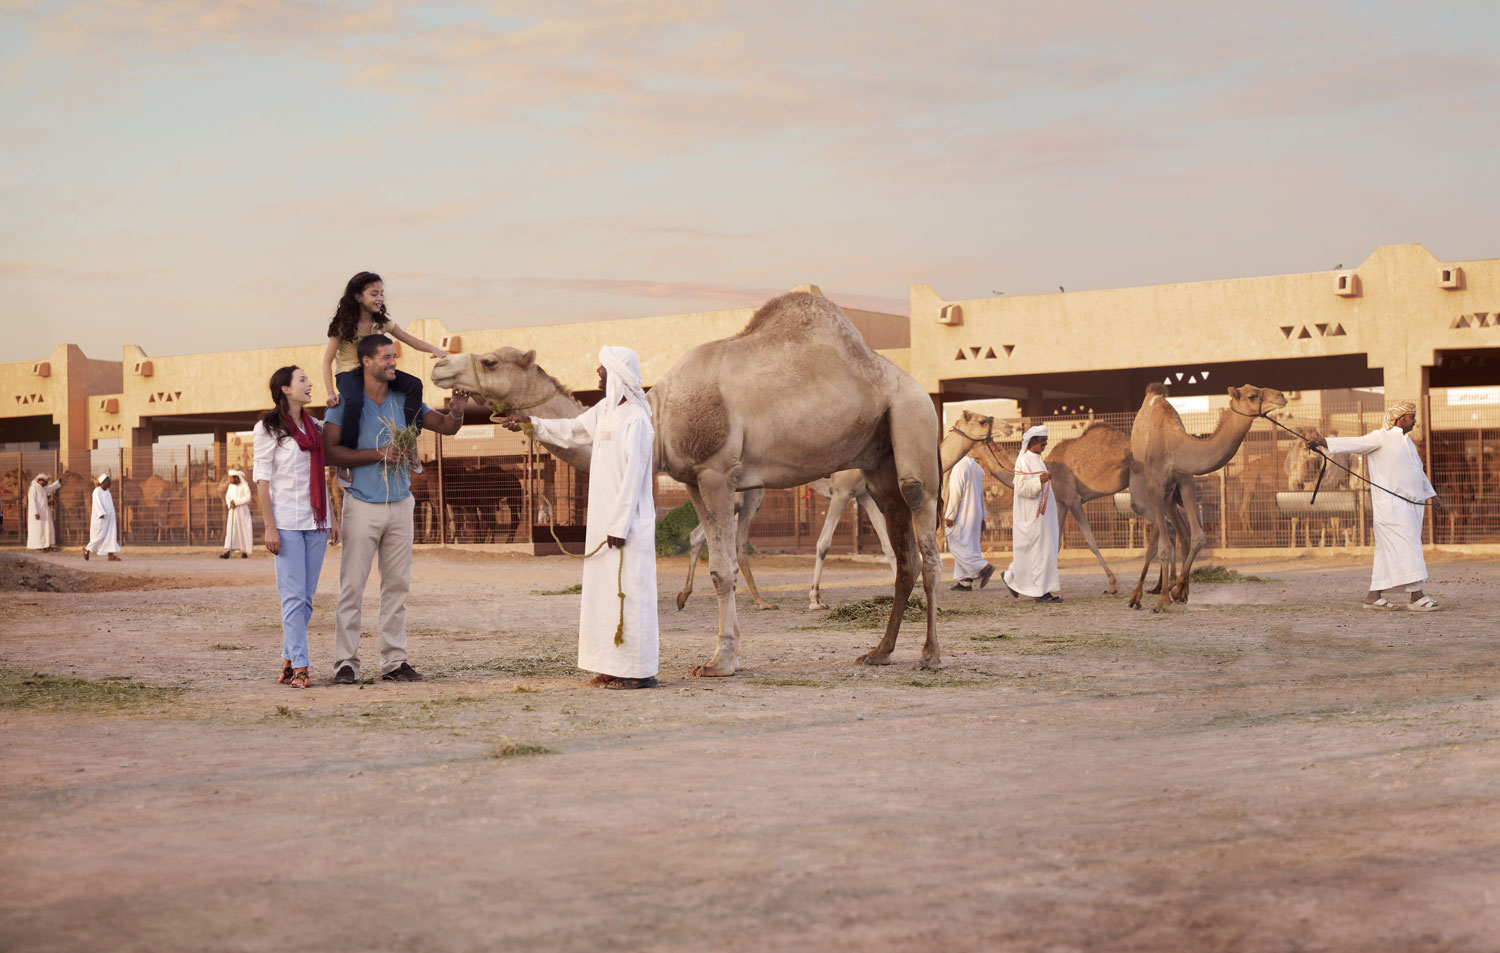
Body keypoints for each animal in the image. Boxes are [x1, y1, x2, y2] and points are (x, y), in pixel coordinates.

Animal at [432, 291, 945, 674]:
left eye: (490, 361)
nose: (439, 367)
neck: (658, 415)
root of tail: (914, 386)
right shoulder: (695, 480)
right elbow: (719, 560)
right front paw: (726, 652)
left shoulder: (716, 470)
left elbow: (723, 569)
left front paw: (720, 661)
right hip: (878, 465)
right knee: (903, 554)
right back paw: (879, 652)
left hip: (913, 424)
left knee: (926, 540)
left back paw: (930, 656)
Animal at [673, 409, 1010, 611]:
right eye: (982, 420)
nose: (1007, 424)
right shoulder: (843, 492)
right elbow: (823, 544)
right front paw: (814, 599)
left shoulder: (863, 496)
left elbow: (887, 547)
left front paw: (904, 592)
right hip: (745, 494)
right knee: (727, 539)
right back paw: (754, 600)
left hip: (745, 493)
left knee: (701, 535)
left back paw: (690, 596)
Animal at [1127, 383, 1287, 612]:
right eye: (1252, 395)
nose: (1281, 396)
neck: (1174, 446)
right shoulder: (1155, 486)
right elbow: (1164, 546)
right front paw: (1164, 599)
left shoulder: (1185, 481)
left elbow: (1198, 537)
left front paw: (1179, 590)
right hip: (1153, 490)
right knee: (1158, 538)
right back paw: (1139, 595)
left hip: (1170, 494)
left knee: (1177, 532)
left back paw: (1166, 586)